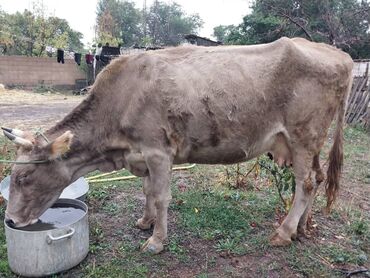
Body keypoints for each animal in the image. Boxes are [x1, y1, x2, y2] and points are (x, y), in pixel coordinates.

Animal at [2, 37, 352, 254]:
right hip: (307, 143)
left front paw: (157, 241)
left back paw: (283, 232)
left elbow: (160, 196)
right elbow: (146, 191)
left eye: (24, 178)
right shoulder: (140, 153)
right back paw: (304, 227)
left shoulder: (158, 150)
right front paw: (145, 223)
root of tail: (340, 55)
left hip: (303, 136)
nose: (10, 221)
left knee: (306, 184)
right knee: (318, 179)